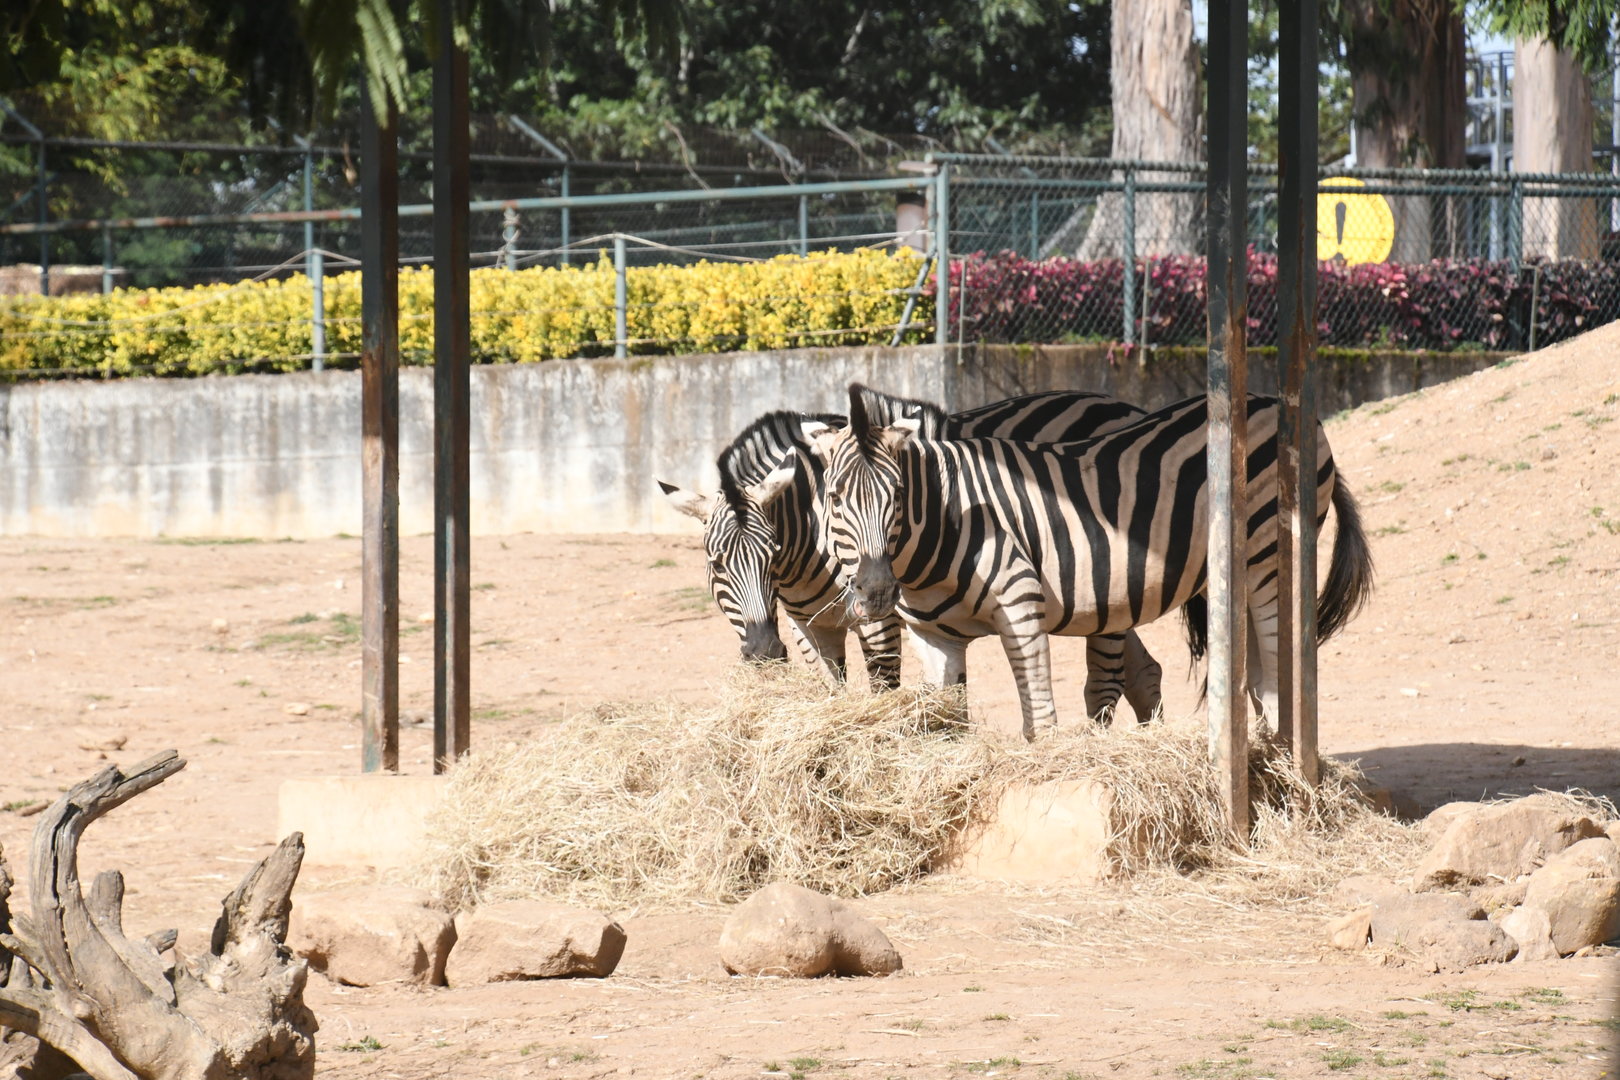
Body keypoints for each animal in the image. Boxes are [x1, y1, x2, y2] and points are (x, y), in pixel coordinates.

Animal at [658, 391, 1170, 720]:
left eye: (772, 552)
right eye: (716, 563)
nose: (764, 653)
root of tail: (1125, 405)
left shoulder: (880, 619)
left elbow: (884, 691)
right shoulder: (808, 627)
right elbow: (831, 694)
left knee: (1107, 678)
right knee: (1145, 672)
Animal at [802, 384, 1374, 740]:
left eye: (897, 497)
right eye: (833, 498)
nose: (877, 592)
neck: (944, 523)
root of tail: (1273, 400)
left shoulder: (1021, 605)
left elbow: (1040, 723)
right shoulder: (933, 637)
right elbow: (944, 724)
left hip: (1268, 555)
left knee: (1278, 664)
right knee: (1252, 671)